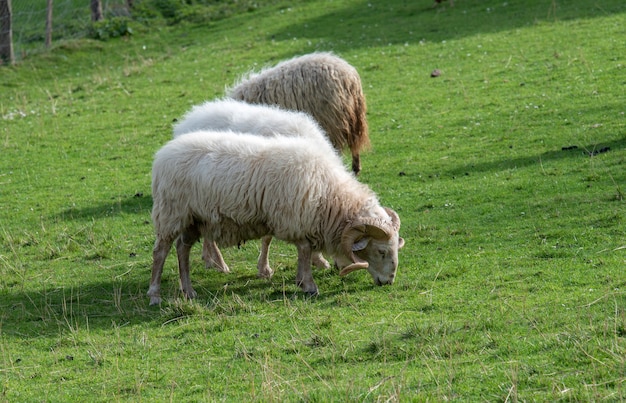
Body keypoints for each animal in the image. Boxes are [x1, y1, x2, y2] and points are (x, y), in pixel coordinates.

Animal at [148, 133, 402, 306]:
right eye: (381, 251)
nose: (388, 281)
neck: (330, 195)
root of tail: (163, 155)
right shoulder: (297, 220)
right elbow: (305, 250)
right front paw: (309, 285)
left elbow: (303, 252)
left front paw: (301, 281)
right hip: (172, 212)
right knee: (161, 252)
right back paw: (155, 294)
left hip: (193, 219)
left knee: (182, 249)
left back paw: (188, 291)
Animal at [171, 99, 334, 280]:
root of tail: (191, 116)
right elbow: (267, 239)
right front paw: (264, 269)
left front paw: (318, 260)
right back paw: (219, 263)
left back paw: (209, 259)